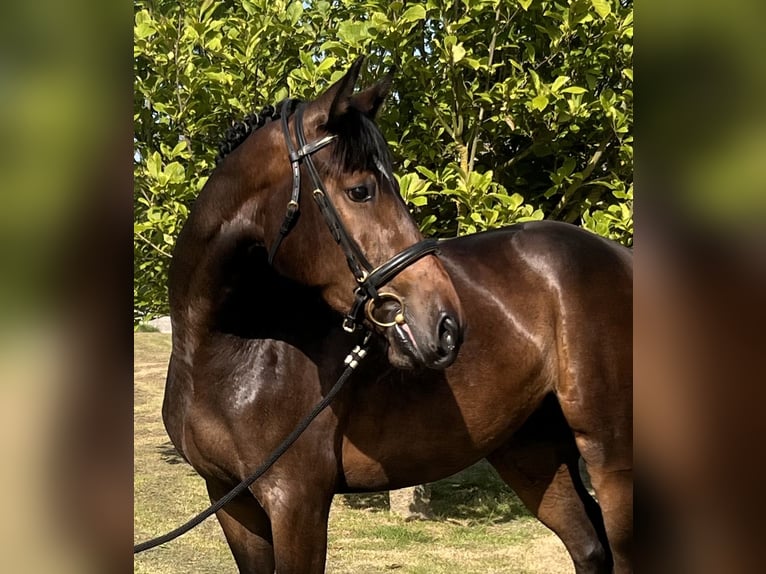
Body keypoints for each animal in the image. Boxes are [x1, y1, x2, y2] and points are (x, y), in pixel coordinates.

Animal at [162, 59, 633, 573]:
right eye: (360, 190)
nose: (446, 324)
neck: (227, 351)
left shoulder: (295, 503)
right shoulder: (231, 500)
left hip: (609, 453)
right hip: (531, 447)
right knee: (588, 546)